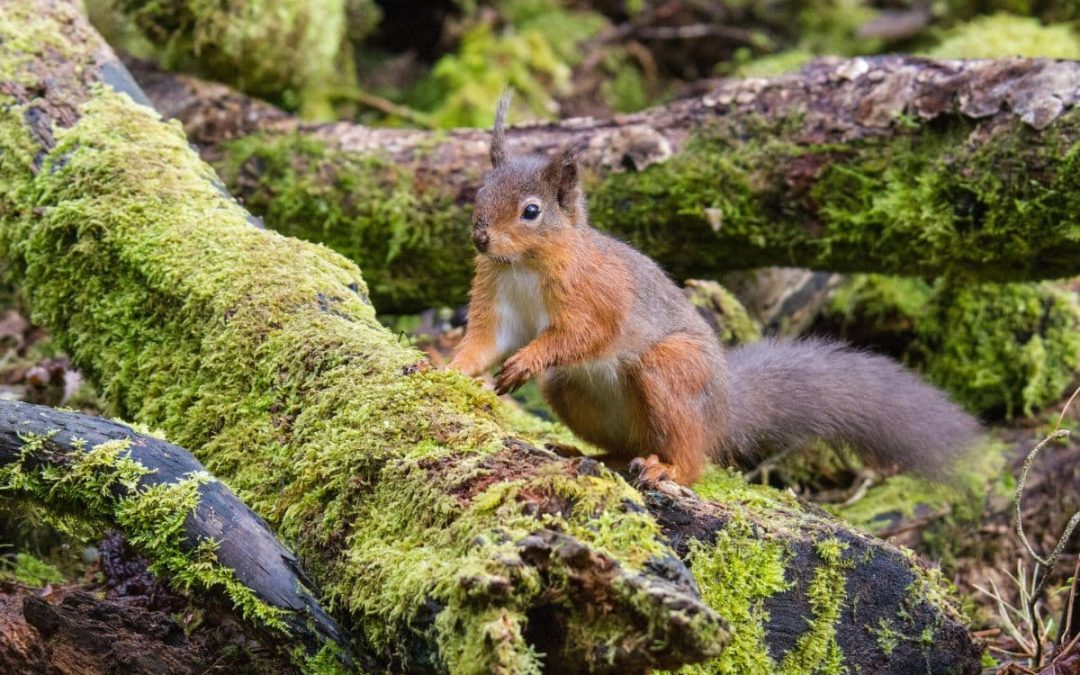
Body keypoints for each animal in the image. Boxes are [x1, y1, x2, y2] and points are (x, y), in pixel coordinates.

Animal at [449, 94, 981, 486]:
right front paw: (450, 369)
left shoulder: (596, 294)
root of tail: (725, 412)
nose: (479, 238)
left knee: (691, 460)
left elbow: (586, 334)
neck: (523, 267)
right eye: (480, 192)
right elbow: (485, 341)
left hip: (672, 370)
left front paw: (527, 360)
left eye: (531, 211)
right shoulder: (495, 293)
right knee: (628, 444)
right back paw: (596, 455)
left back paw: (664, 469)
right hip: (573, 390)